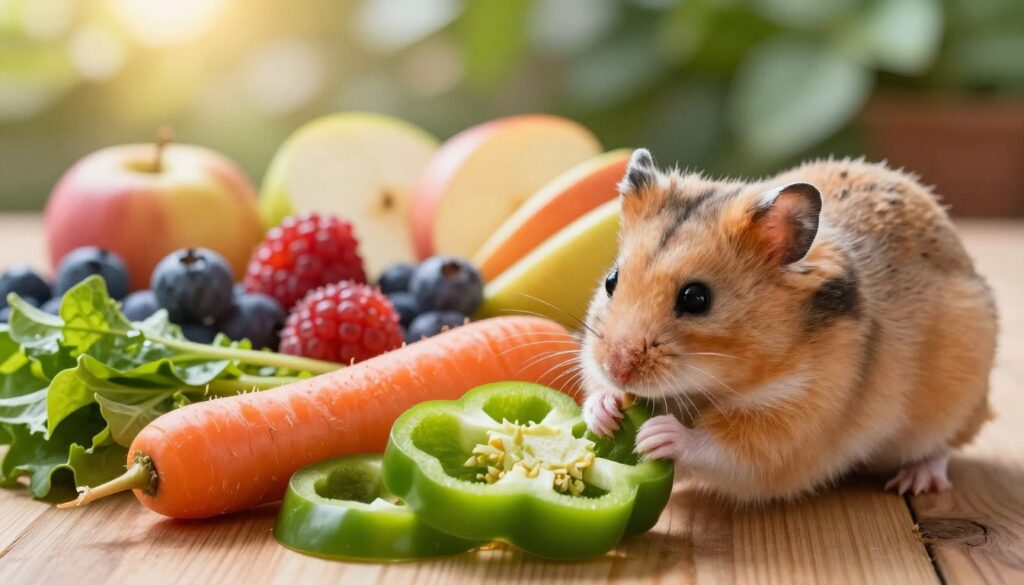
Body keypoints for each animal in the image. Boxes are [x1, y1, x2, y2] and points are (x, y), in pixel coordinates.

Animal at [580, 149, 997, 501]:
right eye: (611, 280)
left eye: (696, 298)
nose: (616, 369)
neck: (708, 385)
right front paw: (604, 411)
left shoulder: (790, 423)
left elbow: (721, 447)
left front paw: (656, 434)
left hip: (956, 401)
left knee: (942, 447)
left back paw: (915, 480)